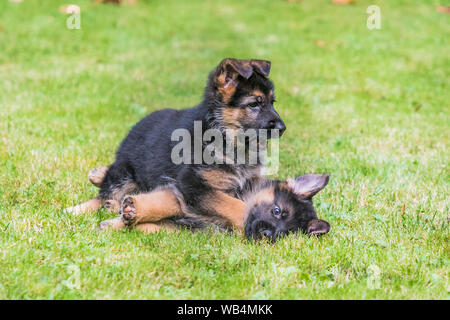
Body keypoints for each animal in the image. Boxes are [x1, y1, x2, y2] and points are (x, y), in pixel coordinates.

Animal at [66, 58, 284, 230]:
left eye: (272, 102)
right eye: (254, 104)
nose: (282, 128)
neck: (226, 138)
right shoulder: (192, 184)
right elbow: (235, 205)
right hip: (124, 173)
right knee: (102, 195)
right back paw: (76, 209)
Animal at [88, 169, 328, 241]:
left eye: (285, 234)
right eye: (277, 211)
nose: (267, 234)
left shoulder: (193, 226)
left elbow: (155, 227)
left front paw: (120, 224)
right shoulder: (184, 194)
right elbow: (160, 204)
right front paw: (132, 211)